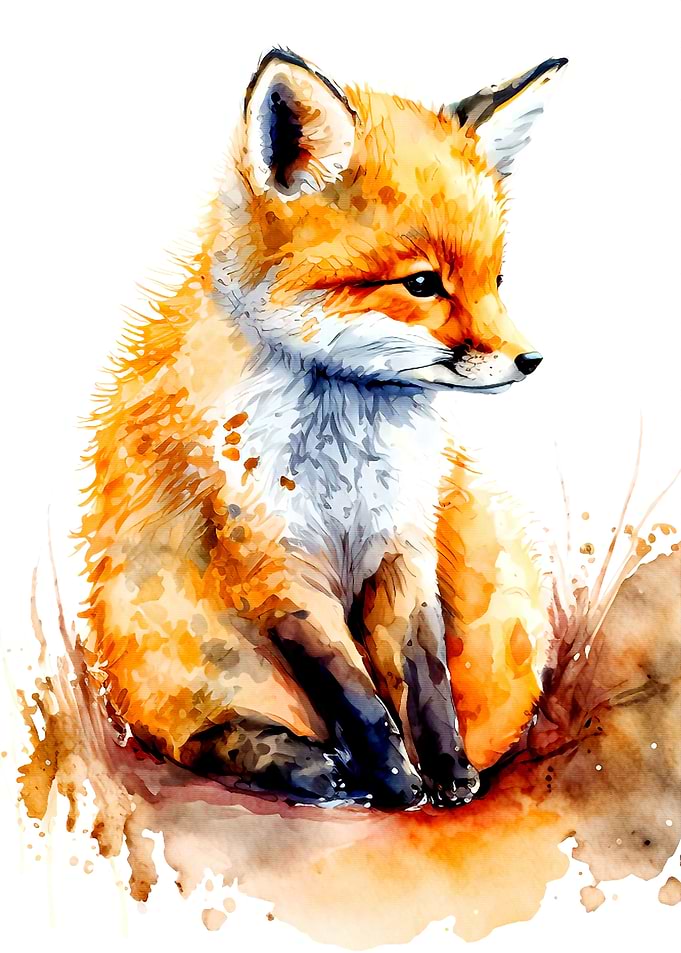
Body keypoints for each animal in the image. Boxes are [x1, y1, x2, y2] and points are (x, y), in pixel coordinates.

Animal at [80, 49, 567, 809]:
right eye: (422, 284)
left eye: (495, 280)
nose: (530, 360)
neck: (346, 452)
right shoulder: (274, 563)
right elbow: (357, 698)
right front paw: (396, 781)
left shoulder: (401, 545)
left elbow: (424, 678)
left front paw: (447, 772)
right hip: (177, 642)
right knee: (201, 738)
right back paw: (310, 766)